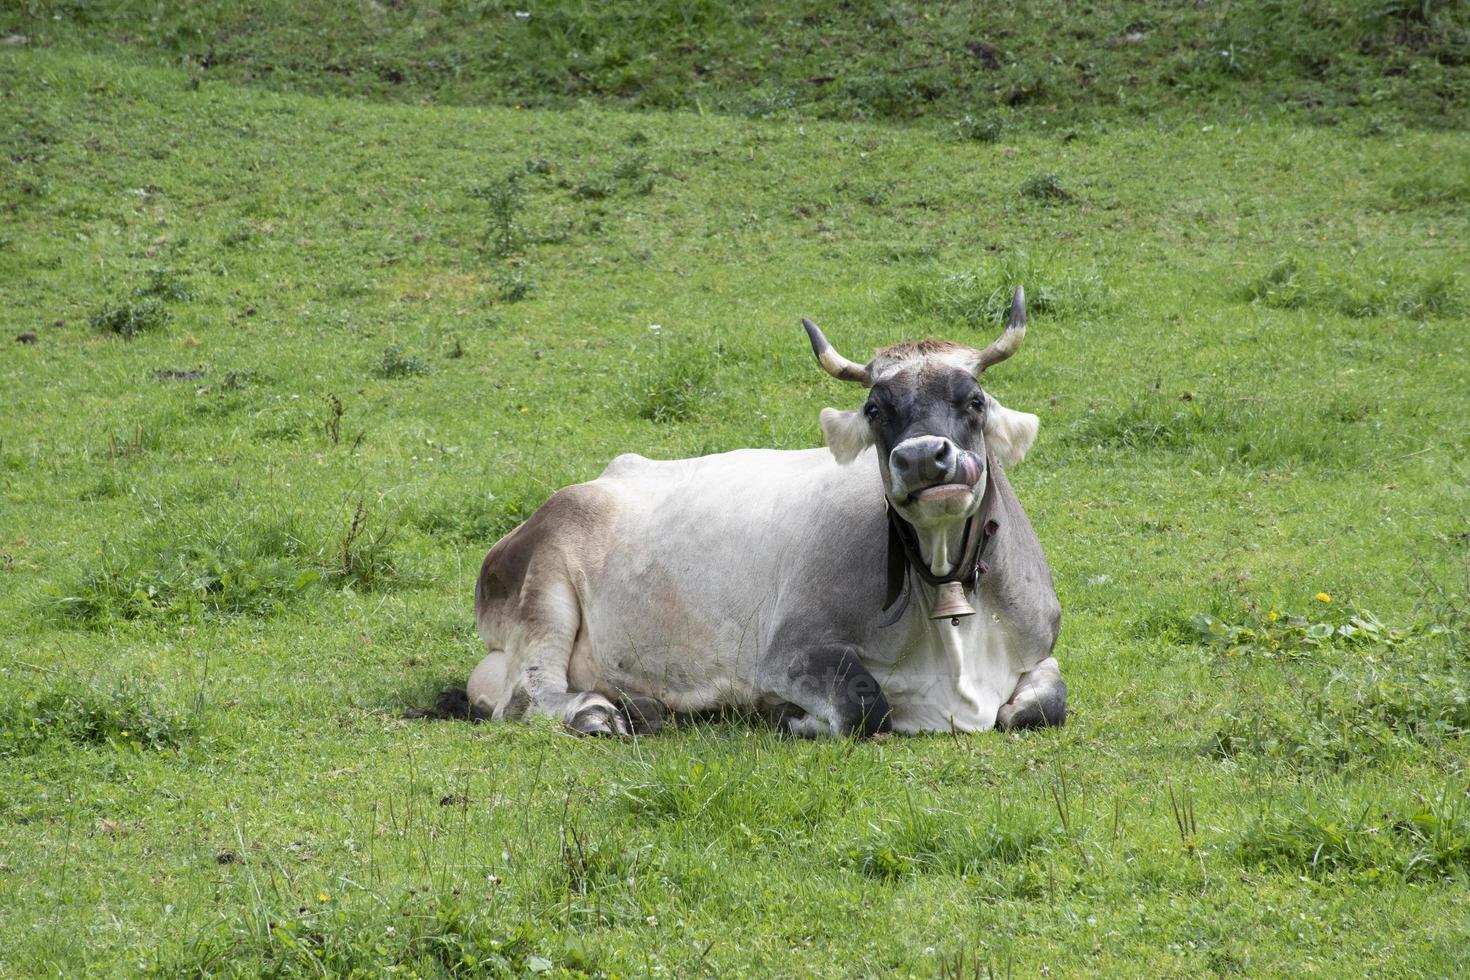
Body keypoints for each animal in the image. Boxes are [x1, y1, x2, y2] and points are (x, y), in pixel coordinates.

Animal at [464, 289, 1064, 734]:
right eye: (875, 409)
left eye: (974, 400)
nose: (921, 458)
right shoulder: (788, 654)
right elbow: (864, 705)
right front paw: (792, 718)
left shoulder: (1041, 649)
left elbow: (1046, 704)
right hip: (544, 586)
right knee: (527, 693)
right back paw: (594, 711)